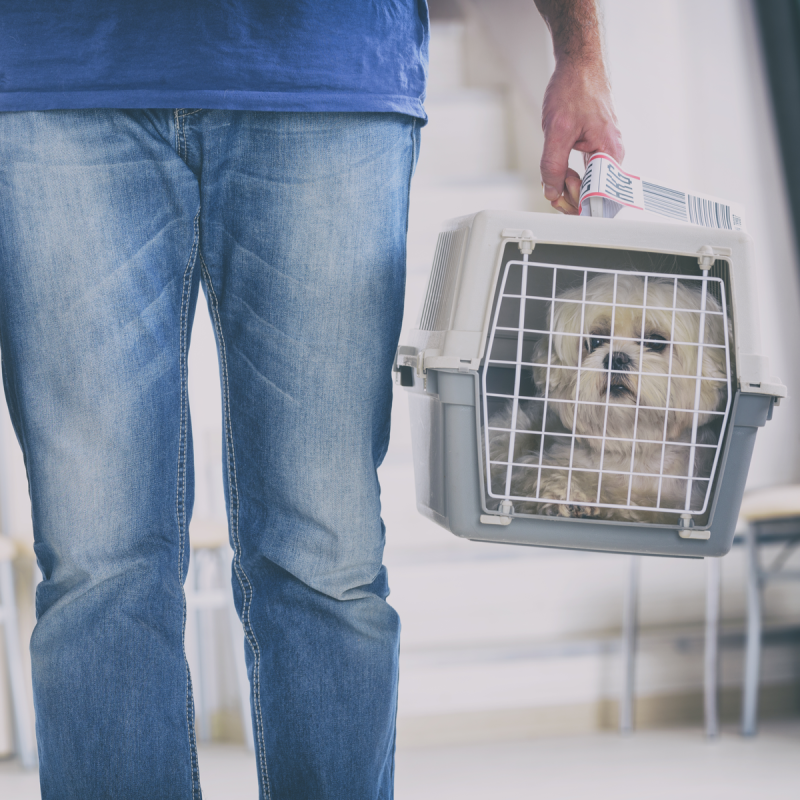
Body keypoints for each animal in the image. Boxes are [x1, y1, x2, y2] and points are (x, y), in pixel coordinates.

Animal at [488, 274, 732, 524]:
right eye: (596, 341)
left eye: (655, 341)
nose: (616, 358)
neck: (630, 443)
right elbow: (543, 474)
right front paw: (569, 495)